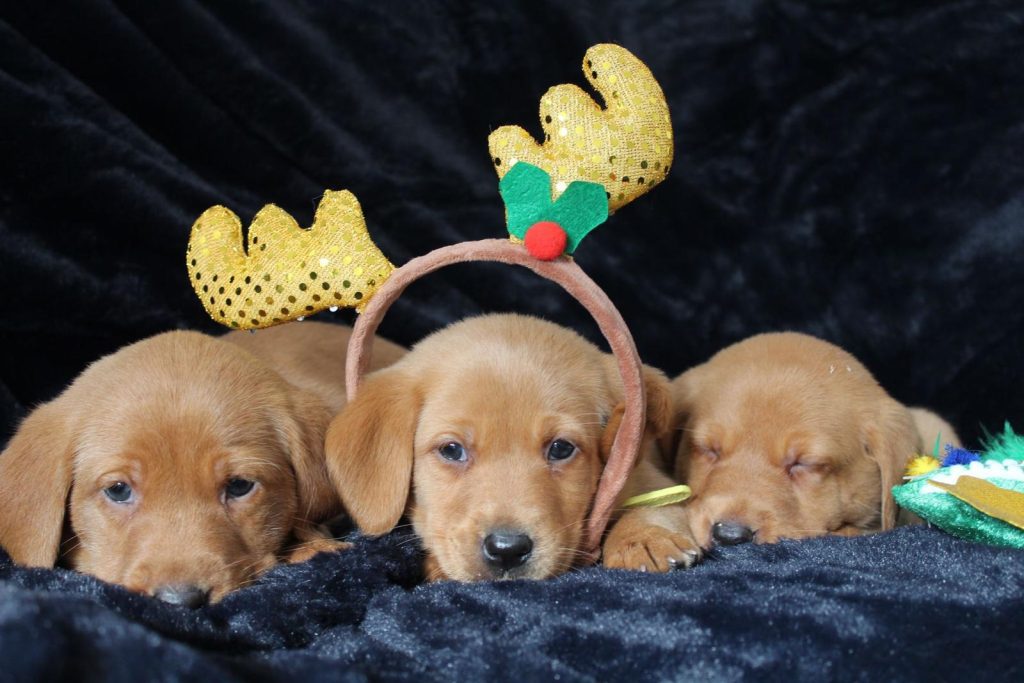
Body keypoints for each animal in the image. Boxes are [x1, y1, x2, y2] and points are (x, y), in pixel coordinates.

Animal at [323, 315, 700, 581]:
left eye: (561, 448)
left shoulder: (645, 475)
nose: (507, 550)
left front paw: (646, 537)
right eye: (451, 450)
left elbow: (655, 503)